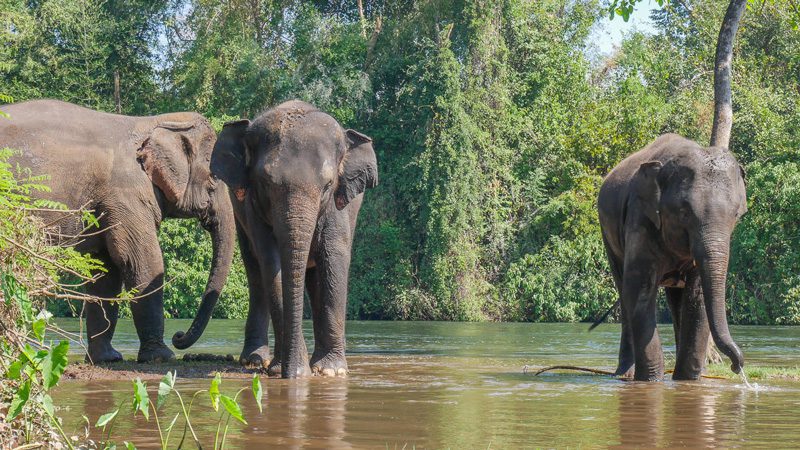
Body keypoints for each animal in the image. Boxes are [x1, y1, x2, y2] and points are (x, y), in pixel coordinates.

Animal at [0, 100, 236, 363]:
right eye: (214, 176)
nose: (178, 336)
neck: (152, 122)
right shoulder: (125, 194)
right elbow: (141, 261)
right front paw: (161, 357)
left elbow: (106, 273)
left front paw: (108, 358)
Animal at [208, 100, 378, 378]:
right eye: (265, 183)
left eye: (328, 185)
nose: (290, 374)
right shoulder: (252, 206)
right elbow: (271, 262)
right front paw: (292, 372)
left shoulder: (339, 207)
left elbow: (334, 258)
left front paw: (331, 372)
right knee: (256, 274)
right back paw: (256, 361)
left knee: (315, 277)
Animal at [597, 133, 747, 381]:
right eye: (684, 213)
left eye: (736, 215)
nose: (737, 367)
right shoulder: (640, 219)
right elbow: (639, 289)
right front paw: (651, 381)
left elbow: (697, 295)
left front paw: (687, 380)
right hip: (608, 236)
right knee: (624, 292)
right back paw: (624, 375)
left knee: (676, 300)